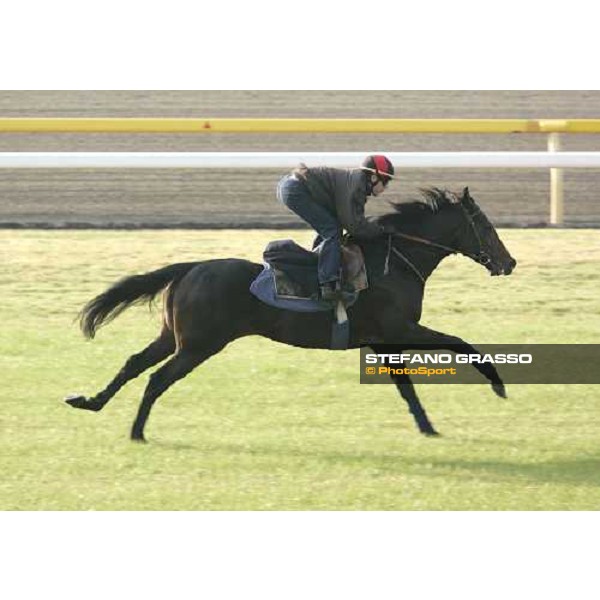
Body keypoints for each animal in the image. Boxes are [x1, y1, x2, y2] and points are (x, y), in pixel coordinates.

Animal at [64, 188, 516, 440]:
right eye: (485, 225)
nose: (508, 262)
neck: (394, 263)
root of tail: (190, 267)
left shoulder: (382, 339)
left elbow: (406, 387)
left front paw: (427, 426)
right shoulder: (400, 328)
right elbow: (459, 342)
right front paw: (497, 385)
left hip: (173, 337)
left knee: (134, 363)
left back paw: (90, 402)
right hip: (198, 344)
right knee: (157, 378)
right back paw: (137, 431)